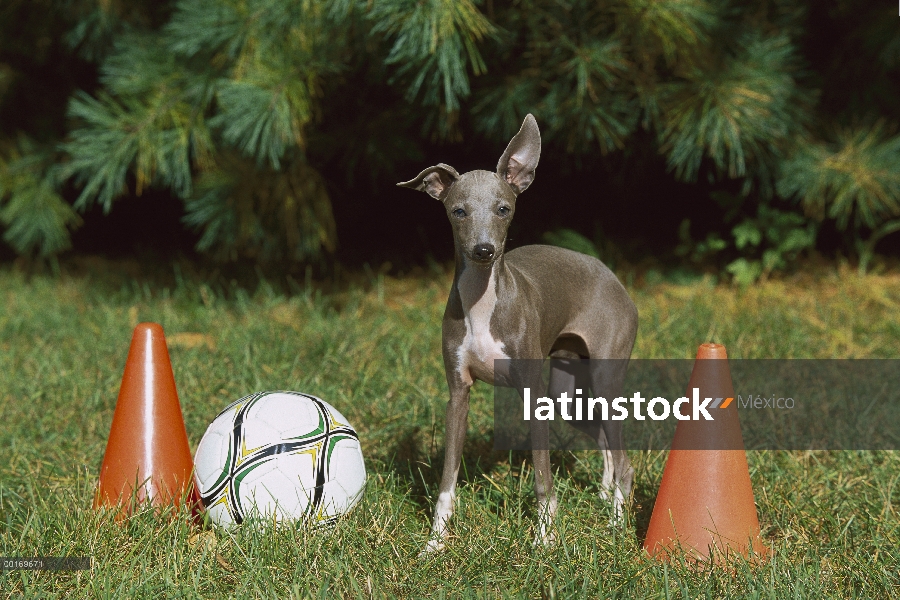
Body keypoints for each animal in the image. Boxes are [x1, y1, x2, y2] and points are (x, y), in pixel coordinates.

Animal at [398, 112, 636, 552]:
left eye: (503, 208)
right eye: (458, 211)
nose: (484, 251)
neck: (482, 303)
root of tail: (612, 276)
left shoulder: (532, 393)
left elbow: (543, 479)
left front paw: (544, 540)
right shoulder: (458, 394)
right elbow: (446, 481)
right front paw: (434, 543)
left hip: (603, 375)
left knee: (625, 461)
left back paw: (615, 526)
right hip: (566, 391)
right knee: (604, 441)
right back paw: (603, 495)